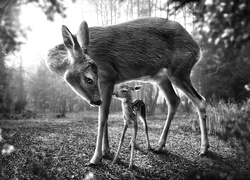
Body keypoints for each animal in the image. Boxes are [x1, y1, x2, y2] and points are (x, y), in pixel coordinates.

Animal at [46, 17, 209, 165]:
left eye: (90, 78)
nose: (96, 100)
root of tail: (197, 49)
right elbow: (105, 115)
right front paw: (106, 152)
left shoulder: (108, 75)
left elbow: (102, 117)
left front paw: (95, 158)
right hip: (161, 77)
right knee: (174, 100)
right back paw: (159, 146)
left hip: (179, 70)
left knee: (200, 100)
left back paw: (204, 149)